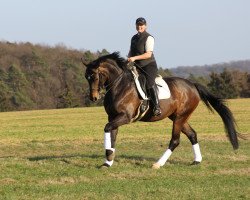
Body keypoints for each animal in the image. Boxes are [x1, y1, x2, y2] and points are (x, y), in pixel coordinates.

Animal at [82, 51, 238, 169]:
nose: (93, 98)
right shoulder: (113, 117)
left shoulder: (125, 117)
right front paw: (108, 162)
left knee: (175, 140)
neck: (120, 86)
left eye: (94, 76)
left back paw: (158, 164)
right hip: (178, 117)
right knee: (192, 134)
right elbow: (112, 136)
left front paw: (109, 156)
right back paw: (196, 161)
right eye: (86, 77)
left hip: (180, 117)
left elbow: (107, 128)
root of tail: (192, 85)